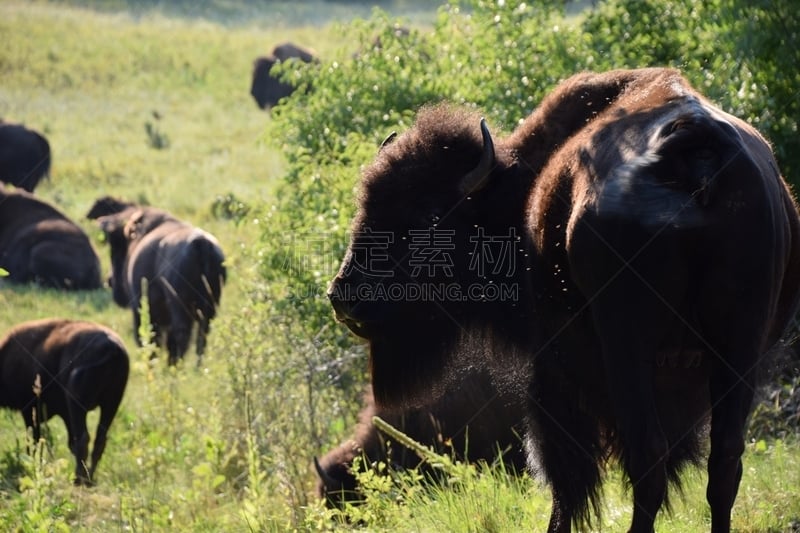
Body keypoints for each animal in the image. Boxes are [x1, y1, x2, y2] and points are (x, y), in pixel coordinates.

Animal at [0, 318, 128, 484]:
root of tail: (112, 349)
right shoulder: (63, 414)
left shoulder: (30, 410)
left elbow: (34, 439)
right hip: (111, 404)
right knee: (99, 440)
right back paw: (89, 478)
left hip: (77, 405)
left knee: (83, 439)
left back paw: (79, 479)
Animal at [89, 198, 227, 366]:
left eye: (115, 248)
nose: (109, 281)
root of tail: (200, 243)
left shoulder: (141, 308)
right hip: (209, 306)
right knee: (201, 336)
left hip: (179, 307)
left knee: (181, 335)